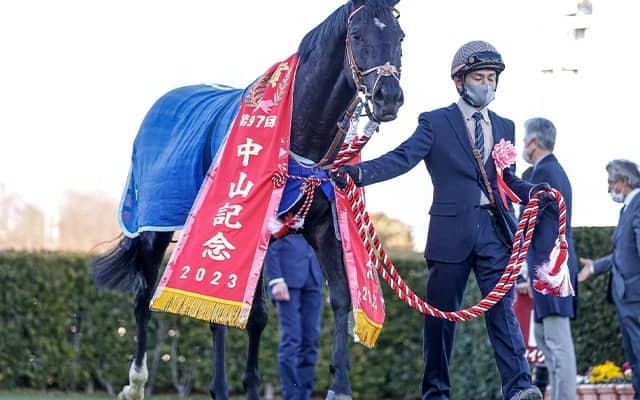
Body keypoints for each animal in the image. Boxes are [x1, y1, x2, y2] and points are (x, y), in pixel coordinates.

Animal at [91, 1, 404, 399]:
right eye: (357, 34)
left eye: (399, 36)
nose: (388, 96)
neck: (298, 132)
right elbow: (233, 315)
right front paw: (223, 387)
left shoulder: (320, 231)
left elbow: (335, 300)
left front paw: (339, 387)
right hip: (153, 228)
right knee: (143, 298)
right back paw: (136, 384)